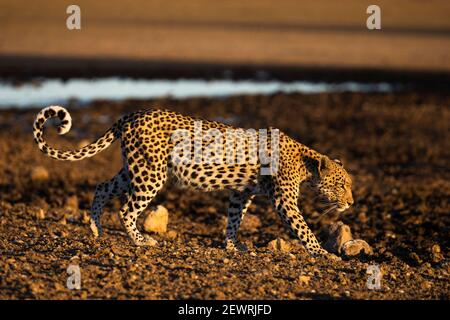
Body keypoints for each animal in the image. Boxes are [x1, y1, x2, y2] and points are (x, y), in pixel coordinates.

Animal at [33, 106, 354, 258]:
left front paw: (232, 246)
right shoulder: (284, 200)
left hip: (134, 169)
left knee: (102, 187)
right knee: (126, 210)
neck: (305, 163)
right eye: (341, 185)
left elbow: (234, 218)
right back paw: (141, 241)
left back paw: (96, 229)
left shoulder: (242, 192)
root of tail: (132, 114)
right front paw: (323, 254)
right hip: (151, 174)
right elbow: (303, 228)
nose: (351, 202)